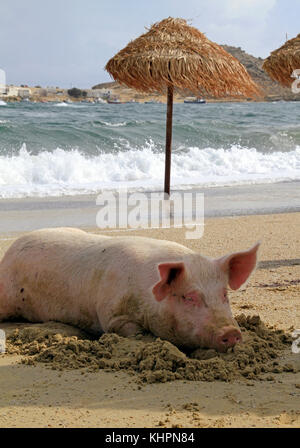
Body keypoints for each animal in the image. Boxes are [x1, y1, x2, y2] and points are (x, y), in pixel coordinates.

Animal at [0, 229, 258, 352]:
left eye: (224, 294)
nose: (231, 332)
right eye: (189, 297)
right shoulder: (112, 315)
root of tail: (9, 251)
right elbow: (129, 330)